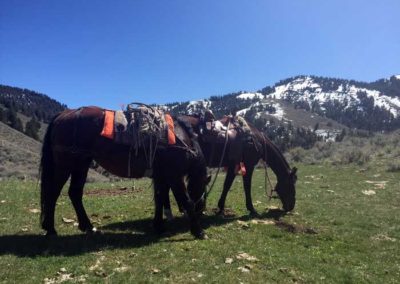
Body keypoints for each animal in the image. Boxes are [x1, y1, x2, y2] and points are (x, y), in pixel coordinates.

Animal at [39, 105, 209, 239]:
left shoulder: (161, 176)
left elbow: (159, 199)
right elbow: (186, 200)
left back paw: (87, 226)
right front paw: (198, 232)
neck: (180, 138)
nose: (201, 211)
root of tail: (63, 115)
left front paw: (159, 226)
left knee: (75, 193)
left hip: (81, 165)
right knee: (53, 193)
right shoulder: (174, 175)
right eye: (205, 191)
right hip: (65, 165)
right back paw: (51, 229)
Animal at [163, 114, 296, 216]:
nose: (291, 206)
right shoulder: (248, 165)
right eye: (290, 184)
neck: (255, 139)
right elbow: (245, 186)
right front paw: (251, 209)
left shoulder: (234, 165)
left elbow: (227, 185)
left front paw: (221, 208)